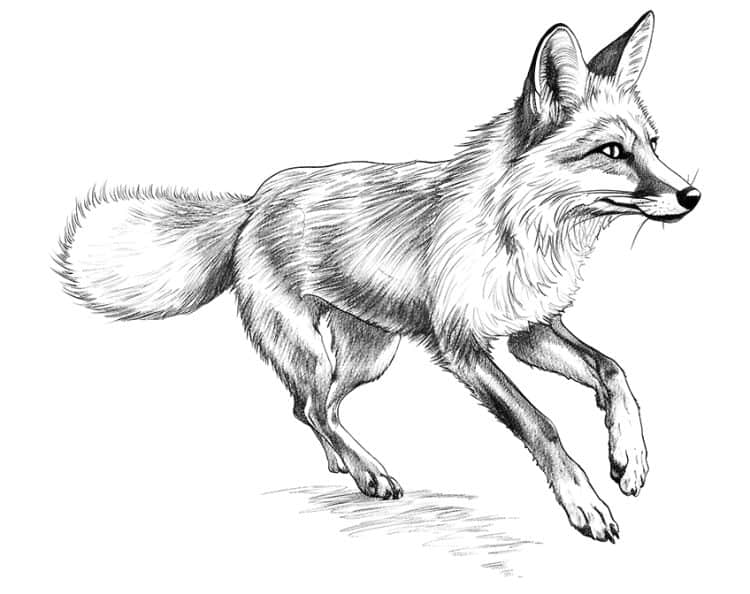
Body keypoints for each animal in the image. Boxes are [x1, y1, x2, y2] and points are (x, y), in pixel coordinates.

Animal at [55, 11, 699, 542]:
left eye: (653, 144)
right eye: (612, 152)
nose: (691, 196)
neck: (526, 232)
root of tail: (254, 201)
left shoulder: (529, 332)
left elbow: (614, 372)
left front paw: (630, 459)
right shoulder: (463, 348)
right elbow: (541, 424)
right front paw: (582, 501)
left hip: (368, 358)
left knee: (312, 408)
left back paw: (348, 462)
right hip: (317, 351)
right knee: (313, 407)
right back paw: (369, 471)